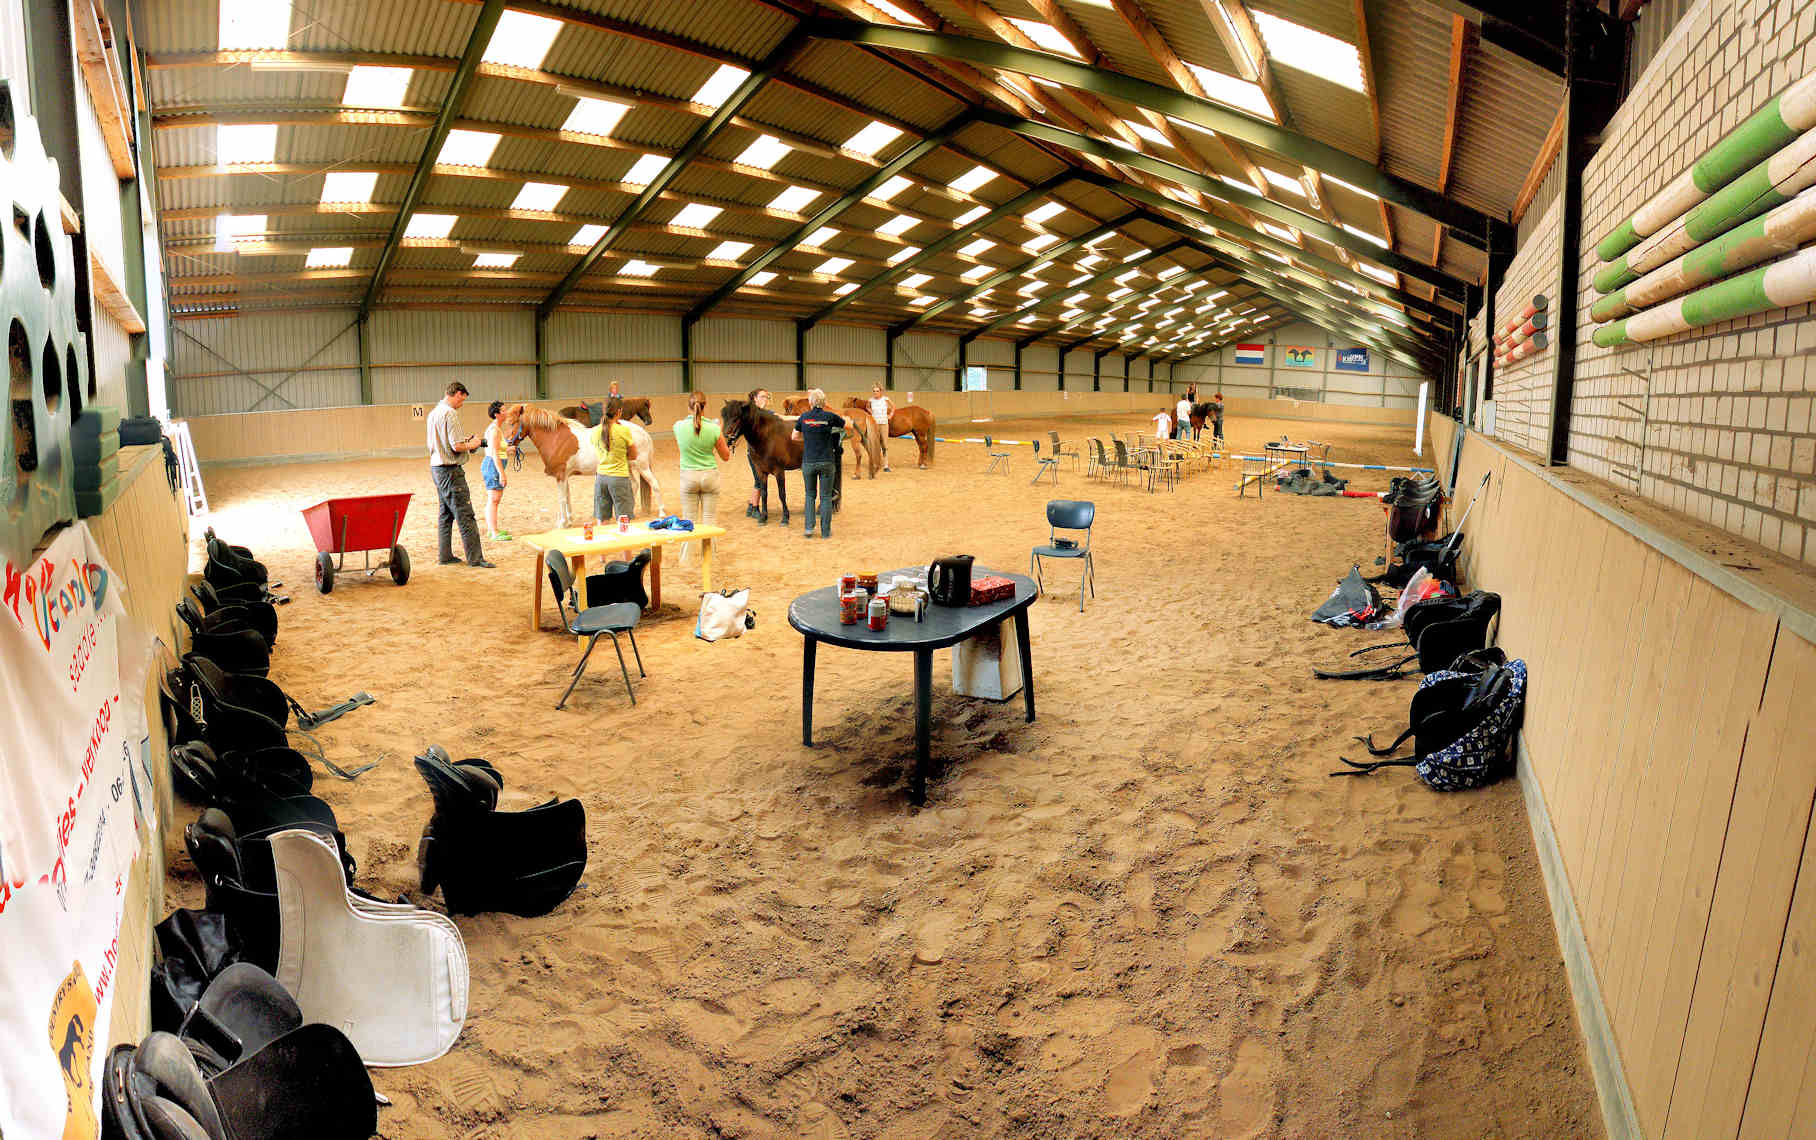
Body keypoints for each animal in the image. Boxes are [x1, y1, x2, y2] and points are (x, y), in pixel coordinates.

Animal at [501, 401, 664, 526]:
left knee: (654, 484)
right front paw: (569, 520)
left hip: (642, 466)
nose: (507, 444)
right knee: (634, 485)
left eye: (512, 423)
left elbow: (561, 498)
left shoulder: (560, 476)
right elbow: (567, 497)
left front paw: (562, 523)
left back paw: (662, 513)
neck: (555, 438)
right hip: (627, 466)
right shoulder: (564, 476)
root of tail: (643, 432)